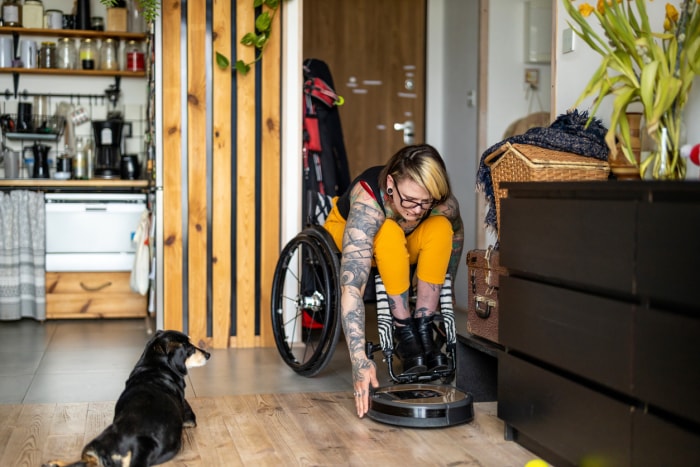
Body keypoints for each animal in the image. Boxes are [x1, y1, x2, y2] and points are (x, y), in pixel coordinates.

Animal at [43, 330, 211, 466]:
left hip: (94, 447)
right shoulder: (189, 419)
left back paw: (53, 463)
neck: (155, 368)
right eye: (190, 348)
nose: (208, 355)